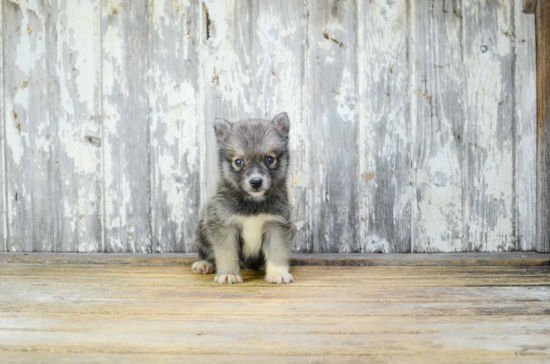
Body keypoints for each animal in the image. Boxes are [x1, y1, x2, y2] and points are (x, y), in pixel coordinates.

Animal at [194, 113, 298, 284]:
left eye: (269, 159)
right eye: (239, 162)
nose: (256, 182)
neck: (253, 202)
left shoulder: (277, 224)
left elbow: (277, 250)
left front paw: (277, 273)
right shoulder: (225, 226)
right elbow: (226, 253)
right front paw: (228, 273)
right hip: (204, 226)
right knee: (206, 251)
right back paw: (204, 263)